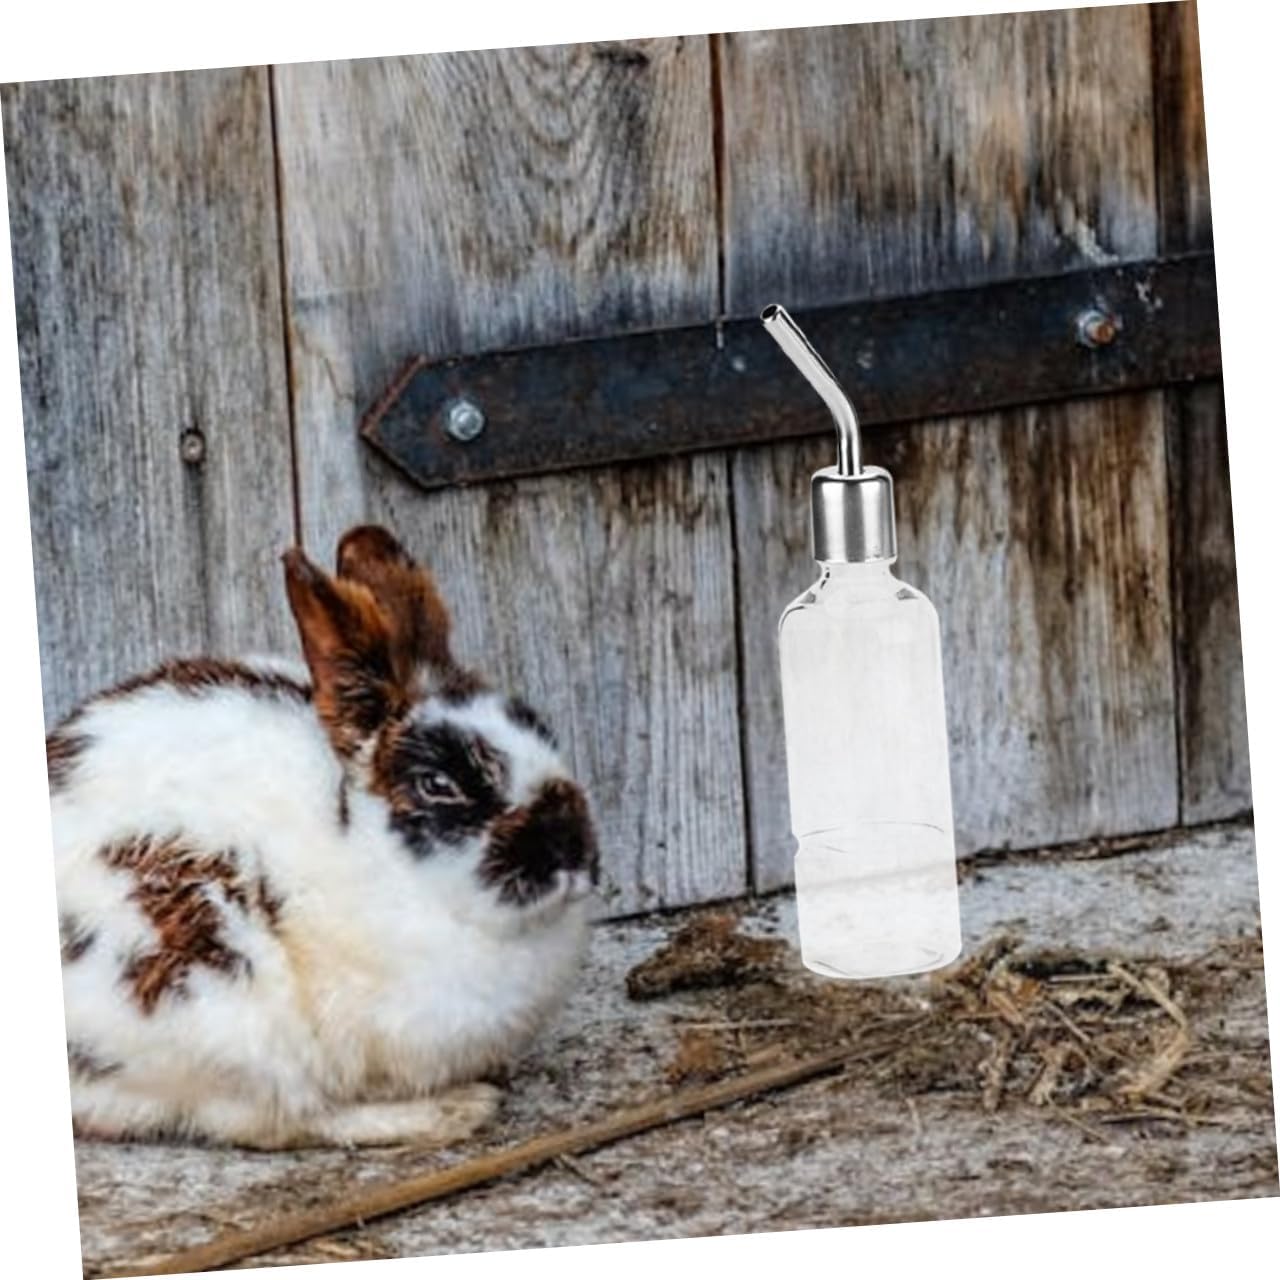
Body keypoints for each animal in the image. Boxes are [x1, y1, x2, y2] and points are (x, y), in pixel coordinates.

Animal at [47, 525, 599, 1149]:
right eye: (438, 785)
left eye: (542, 730)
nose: (573, 848)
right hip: (218, 1000)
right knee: (284, 1118)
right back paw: (454, 1110)